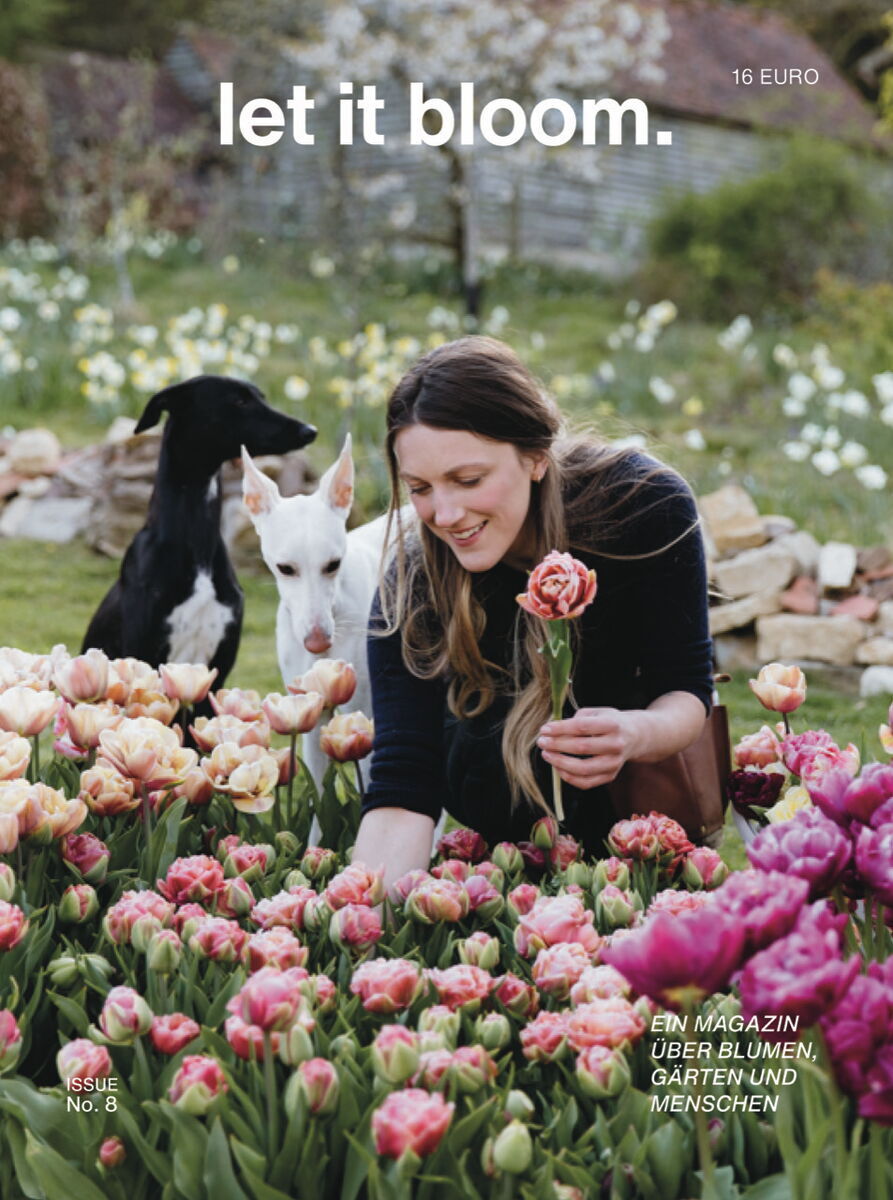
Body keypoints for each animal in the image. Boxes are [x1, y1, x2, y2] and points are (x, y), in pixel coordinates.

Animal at [80, 379, 316, 691]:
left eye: (261, 397)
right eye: (239, 401)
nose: (309, 430)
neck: (196, 545)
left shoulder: (217, 671)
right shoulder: (145, 656)